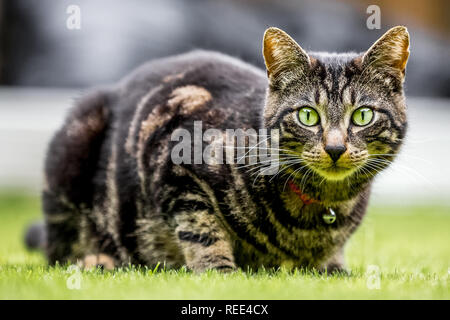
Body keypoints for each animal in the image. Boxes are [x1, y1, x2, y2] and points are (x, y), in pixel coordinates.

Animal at [27, 26, 408, 274]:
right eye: (308, 115)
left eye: (362, 115)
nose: (335, 147)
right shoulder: (174, 161)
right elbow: (202, 228)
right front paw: (219, 271)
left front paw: (334, 267)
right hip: (74, 146)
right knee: (60, 249)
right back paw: (97, 260)